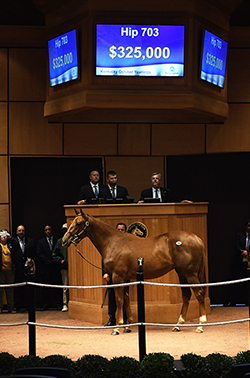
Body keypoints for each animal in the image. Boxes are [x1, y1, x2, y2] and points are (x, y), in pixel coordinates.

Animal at [62, 211, 207, 332]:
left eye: (78, 223)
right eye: (72, 222)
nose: (64, 240)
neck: (113, 242)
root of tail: (196, 238)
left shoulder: (117, 277)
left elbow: (119, 300)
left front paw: (117, 328)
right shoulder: (125, 278)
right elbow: (126, 299)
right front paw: (128, 326)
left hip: (190, 274)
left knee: (199, 294)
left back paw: (200, 326)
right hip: (181, 273)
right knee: (186, 295)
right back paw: (178, 325)